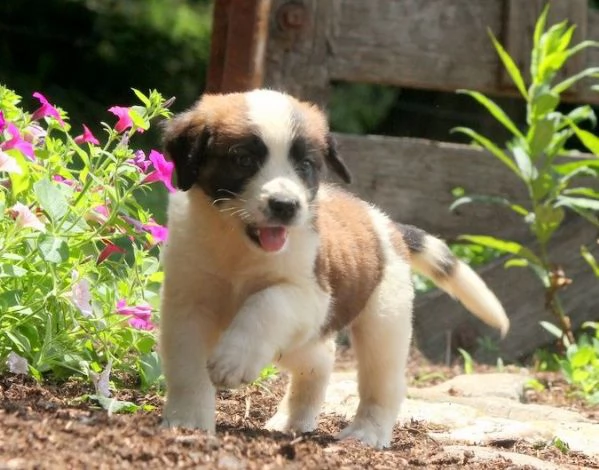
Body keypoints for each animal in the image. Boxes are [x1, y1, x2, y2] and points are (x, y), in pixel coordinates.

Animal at [157, 89, 508, 448]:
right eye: (243, 160)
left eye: (306, 166)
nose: (285, 206)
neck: (237, 245)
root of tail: (387, 224)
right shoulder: (188, 304)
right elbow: (187, 367)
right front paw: (187, 423)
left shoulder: (310, 296)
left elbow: (266, 303)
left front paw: (233, 359)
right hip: (297, 342)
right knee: (321, 358)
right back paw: (292, 419)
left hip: (383, 320)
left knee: (383, 381)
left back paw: (368, 432)